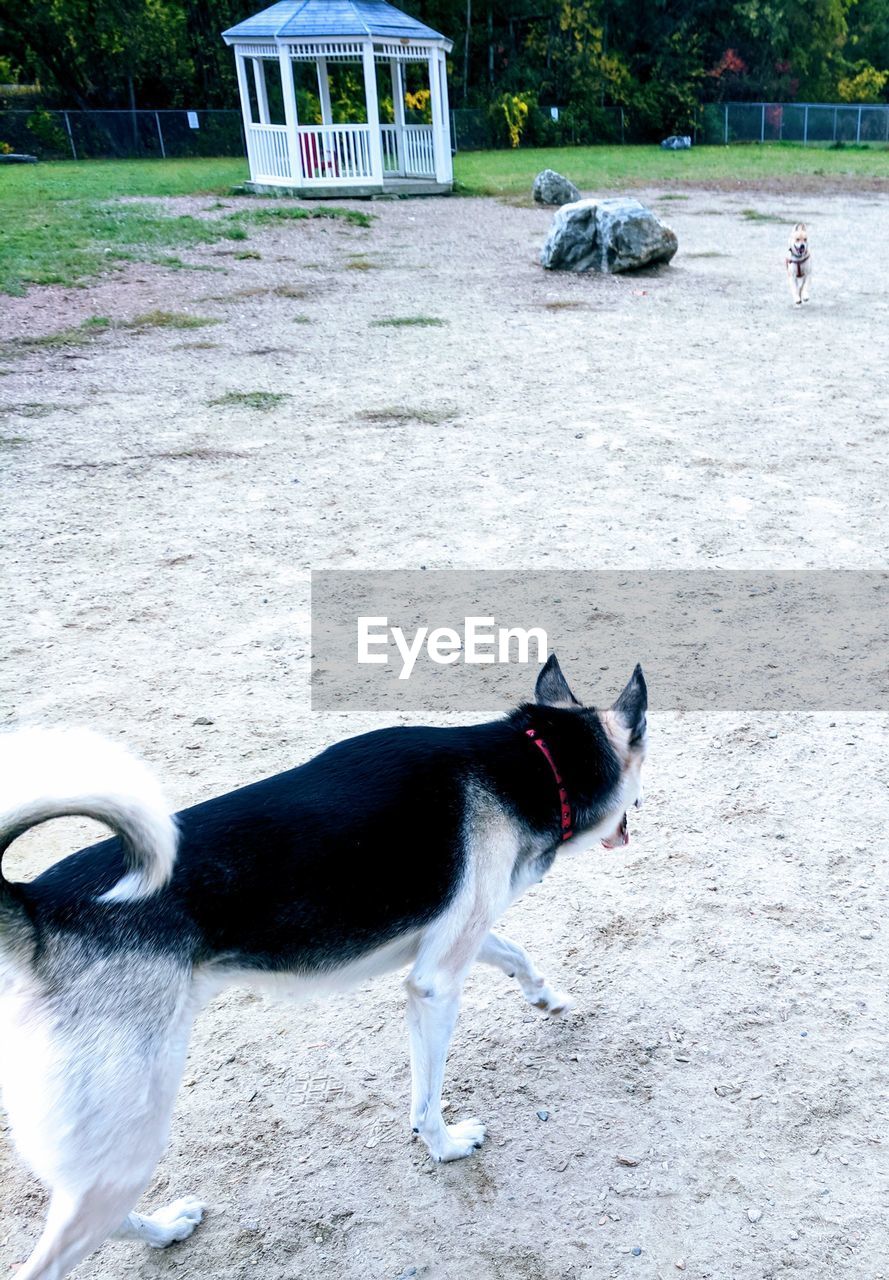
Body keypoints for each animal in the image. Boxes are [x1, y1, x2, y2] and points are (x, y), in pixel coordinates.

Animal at [0, 660, 647, 1280]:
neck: (535, 763)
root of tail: (34, 906)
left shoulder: (449, 940)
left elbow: (516, 955)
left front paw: (548, 998)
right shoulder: (435, 984)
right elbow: (426, 1100)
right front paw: (446, 1146)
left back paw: (165, 1229)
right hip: (131, 1128)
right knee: (51, 1256)